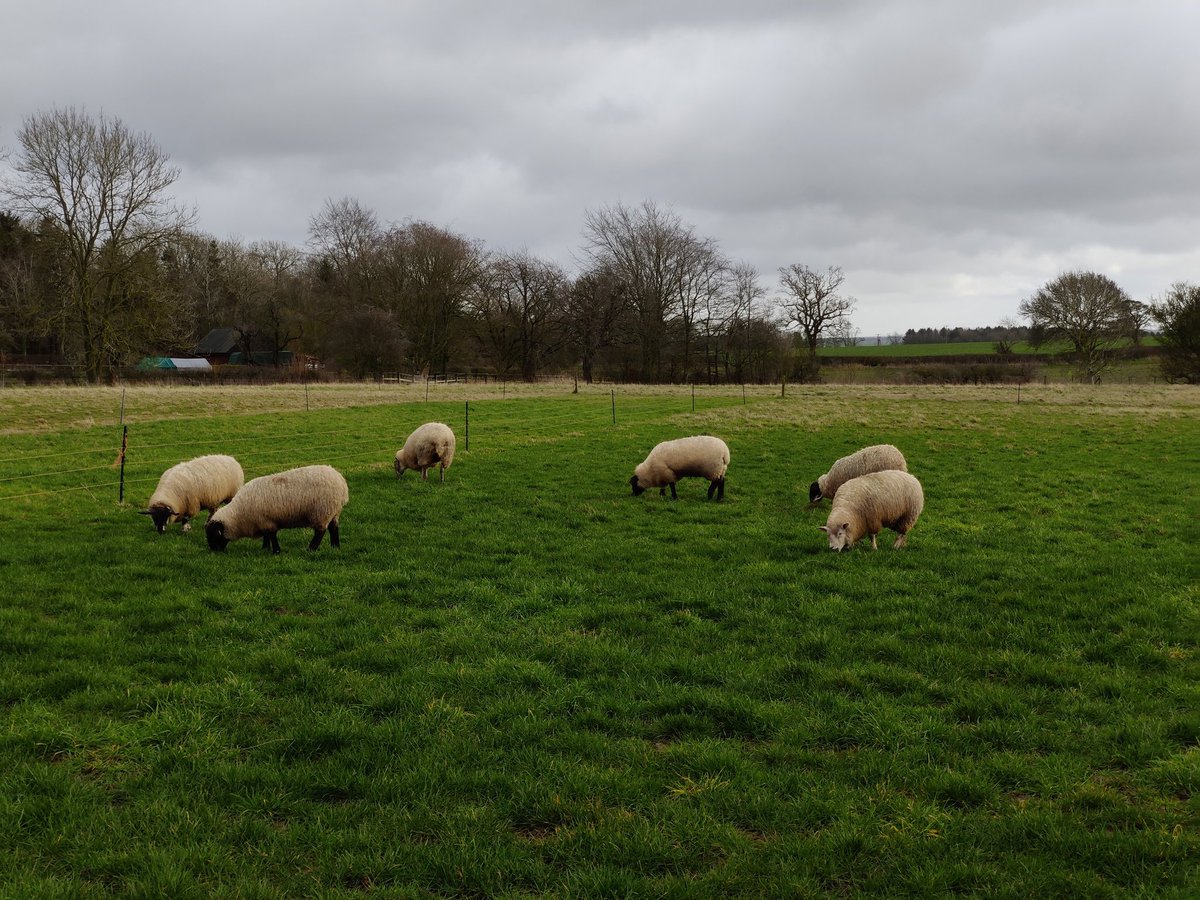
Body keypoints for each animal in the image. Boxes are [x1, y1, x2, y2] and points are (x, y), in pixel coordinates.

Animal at [205, 464, 349, 554]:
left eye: (214, 535)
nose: (214, 552)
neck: (238, 516)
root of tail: (341, 480)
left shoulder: (267, 522)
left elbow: (272, 535)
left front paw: (276, 551)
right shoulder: (263, 521)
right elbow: (267, 536)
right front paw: (265, 548)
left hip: (322, 511)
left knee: (320, 531)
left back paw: (311, 549)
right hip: (334, 512)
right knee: (334, 528)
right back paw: (335, 547)